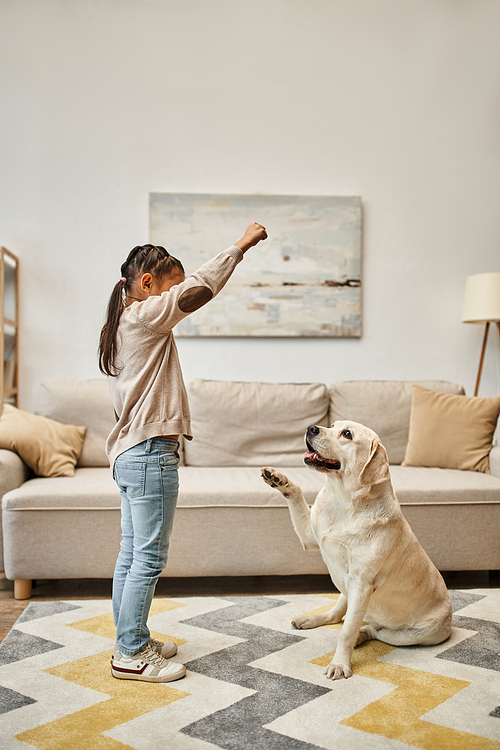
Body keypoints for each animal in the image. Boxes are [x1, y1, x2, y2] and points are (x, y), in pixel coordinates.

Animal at [262, 424, 454, 680]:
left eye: (347, 434)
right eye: (333, 425)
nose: (311, 428)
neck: (343, 500)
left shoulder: (362, 584)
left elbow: (346, 631)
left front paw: (340, 664)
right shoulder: (310, 538)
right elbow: (297, 495)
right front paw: (279, 479)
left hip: (416, 633)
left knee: (370, 630)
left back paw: (359, 637)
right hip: (345, 590)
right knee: (335, 615)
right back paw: (311, 619)